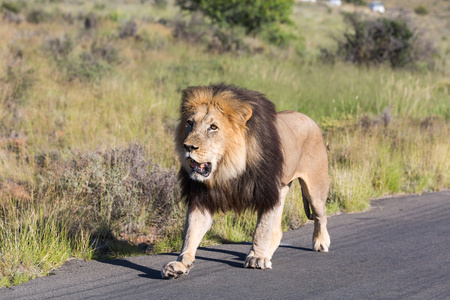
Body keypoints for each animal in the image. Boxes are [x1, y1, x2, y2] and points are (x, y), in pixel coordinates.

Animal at [162, 82, 330, 278]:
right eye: (190, 123)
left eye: (213, 127)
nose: (188, 147)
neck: (227, 169)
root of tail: (308, 118)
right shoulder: (201, 198)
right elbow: (191, 232)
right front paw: (180, 264)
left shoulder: (267, 193)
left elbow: (261, 230)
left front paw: (256, 258)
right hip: (282, 188)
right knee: (278, 231)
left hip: (315, 186)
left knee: (320, 214)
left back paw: (321, 242)